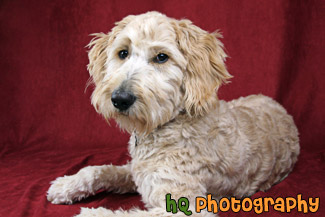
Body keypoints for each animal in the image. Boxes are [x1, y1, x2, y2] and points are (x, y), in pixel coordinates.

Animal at [46, 11, 298, 217]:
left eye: (161, 57)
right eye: (123, 53)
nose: (120, 99)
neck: (168, 124)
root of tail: (279, 106)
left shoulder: (184, 207)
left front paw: (90, 213)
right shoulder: (136, 171)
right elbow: (98, 169)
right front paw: (66, 185)